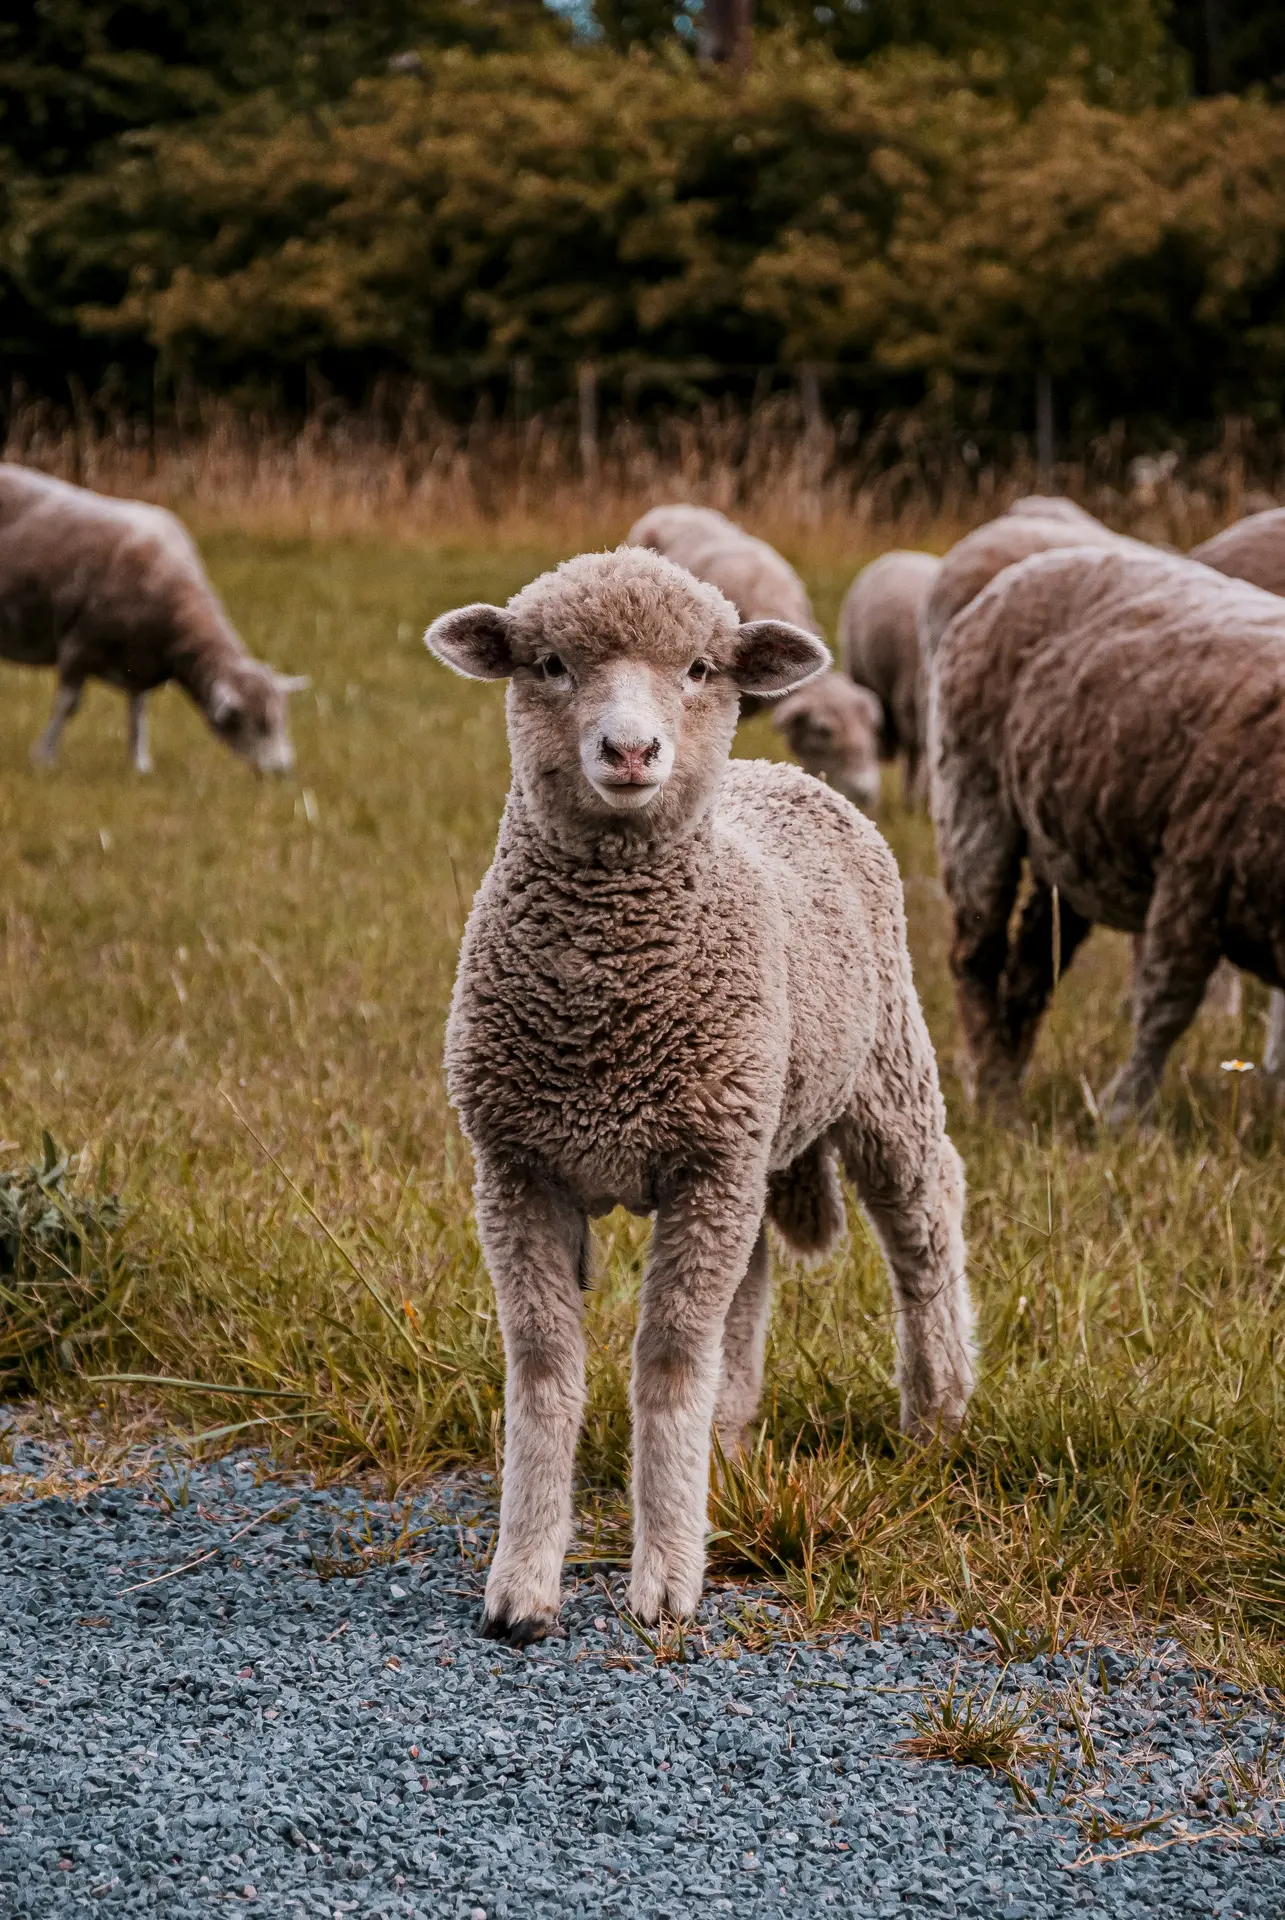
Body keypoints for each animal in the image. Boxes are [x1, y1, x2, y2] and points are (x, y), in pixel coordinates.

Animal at [0, 464, 306, 773]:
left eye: (281, 719)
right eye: (256, 722)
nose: (284, 770)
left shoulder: (140, 661)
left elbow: (138, 711)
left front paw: (139, 764)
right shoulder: (79, 645)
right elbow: (66, 706)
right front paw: (44, 758)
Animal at [930, 543, 1285, 1121]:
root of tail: (1043, 559)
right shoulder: (1193, 873)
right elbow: (1165, 1007)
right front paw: (1125, 1115)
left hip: (1064, 847)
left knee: (1032, 968)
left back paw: (1010, 1082)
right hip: (972, 796)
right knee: (976, 957)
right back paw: (994, 1098)